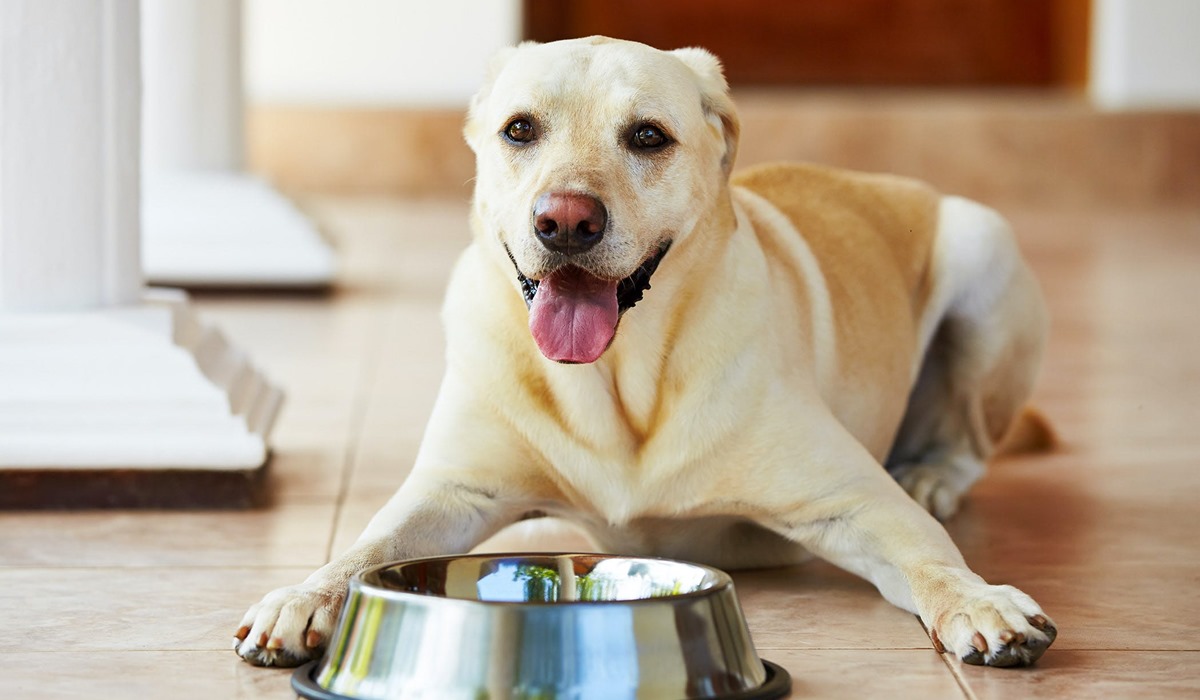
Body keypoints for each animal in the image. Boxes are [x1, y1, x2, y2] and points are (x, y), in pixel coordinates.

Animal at [229, 35, 1056, 672]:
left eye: (648, 136)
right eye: (520, 130)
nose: (565, 221)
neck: (618, 378)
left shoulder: (853, 499)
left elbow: (931, 559)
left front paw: (981, 601)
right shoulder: (452, 491)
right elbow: (367, 548)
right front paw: (305, 596)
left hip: (983, 248)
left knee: (967, 442)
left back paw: (933, 475)